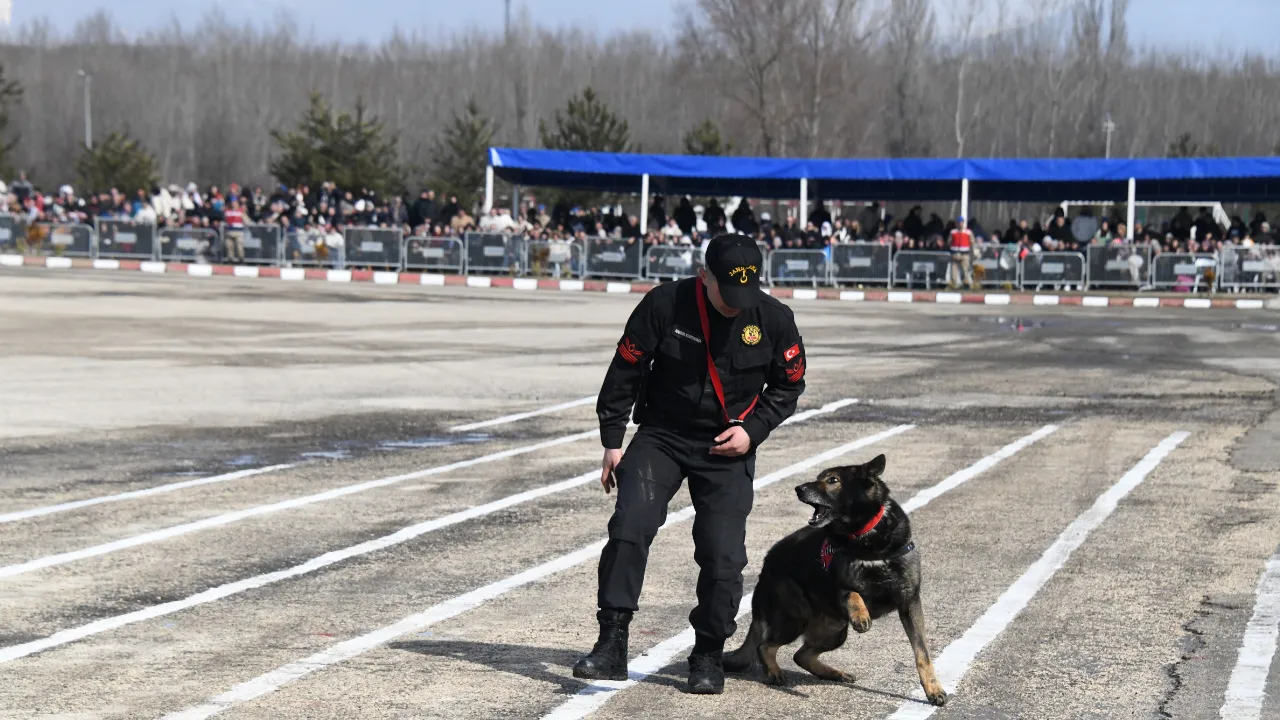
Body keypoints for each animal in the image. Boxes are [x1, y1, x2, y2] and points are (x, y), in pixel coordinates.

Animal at [721, 450, 952, 702]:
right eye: (818, 478)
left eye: (832, 480)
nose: (799, 488)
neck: (866, 539)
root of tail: (767, 562)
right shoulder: (840, 586)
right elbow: (853, 593)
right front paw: (861, 615)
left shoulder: (909, 603)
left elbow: (922, 653)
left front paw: (933, 688)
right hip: (795, 618)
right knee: (765, 646)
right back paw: (774, 672)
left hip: (834, 632)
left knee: (801, 655)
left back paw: (833, 673)